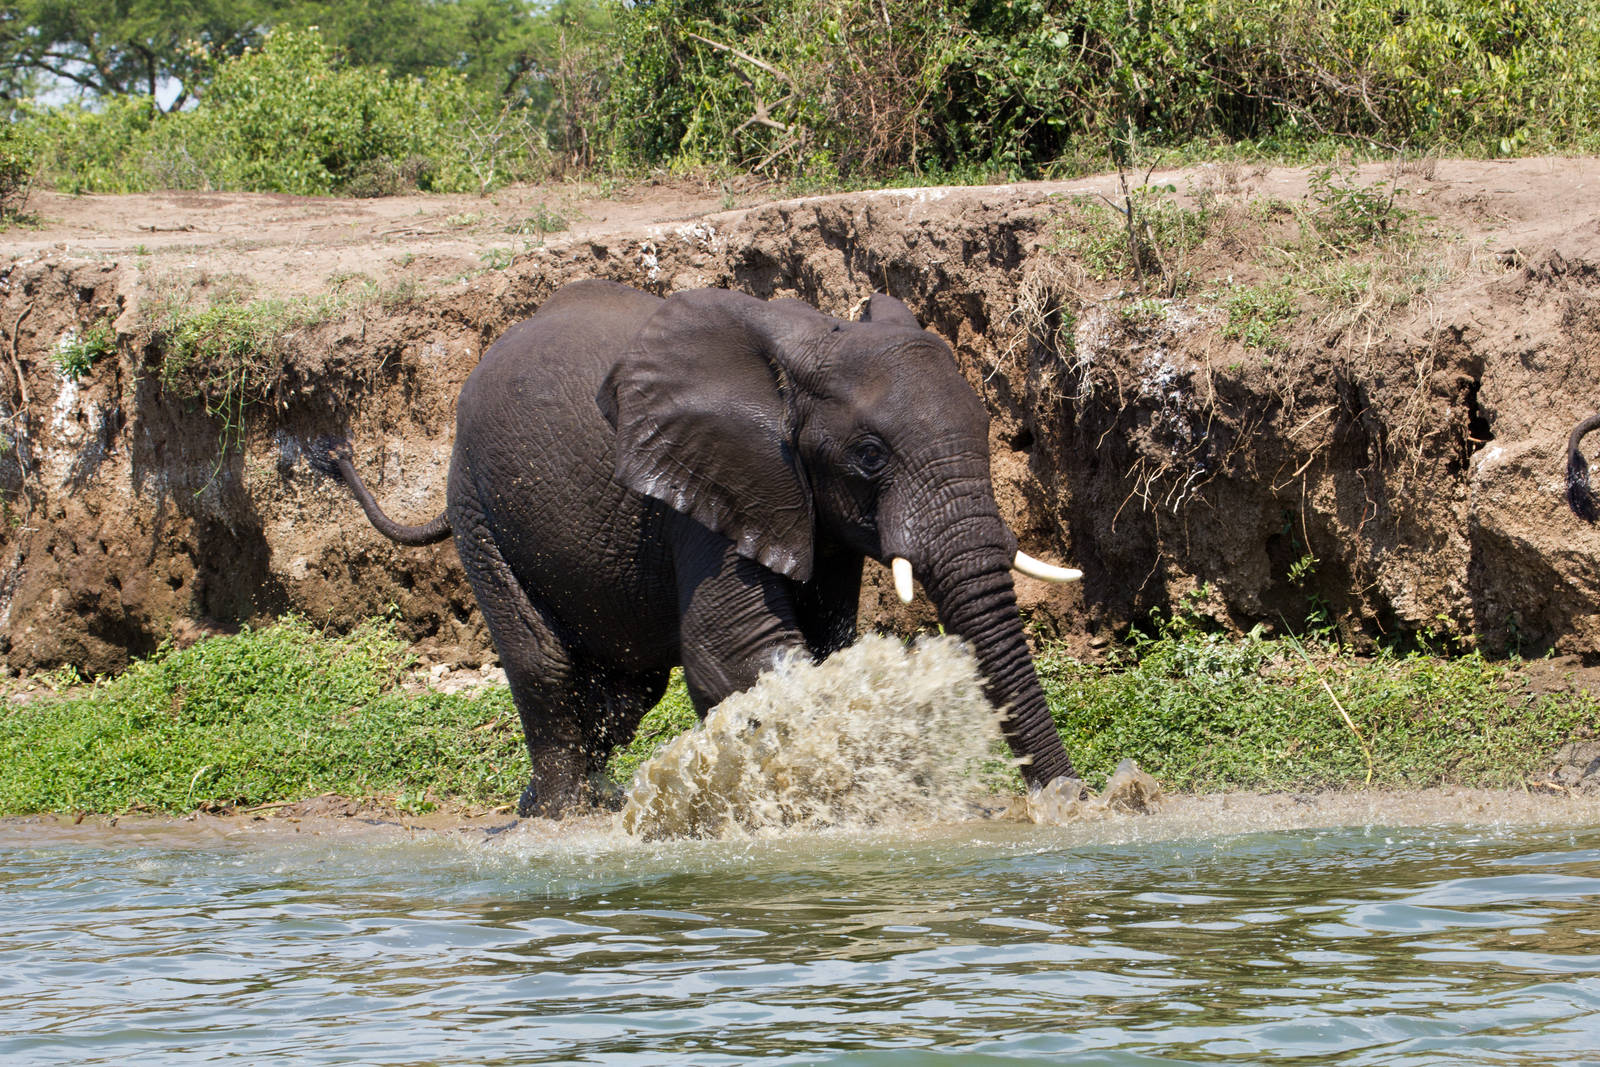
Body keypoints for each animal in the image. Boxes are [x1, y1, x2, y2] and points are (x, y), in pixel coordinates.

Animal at [315, 279, 1083, 816]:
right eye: (869, 456)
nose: (1072, 801)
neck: (815, 342)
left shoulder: (806, 510)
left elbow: (824, 647)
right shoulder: (711, 489)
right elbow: (735, 653)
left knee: (626, 690)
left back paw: (568, 803)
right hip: (477, 504)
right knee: (543, 666)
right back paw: (559, 816)